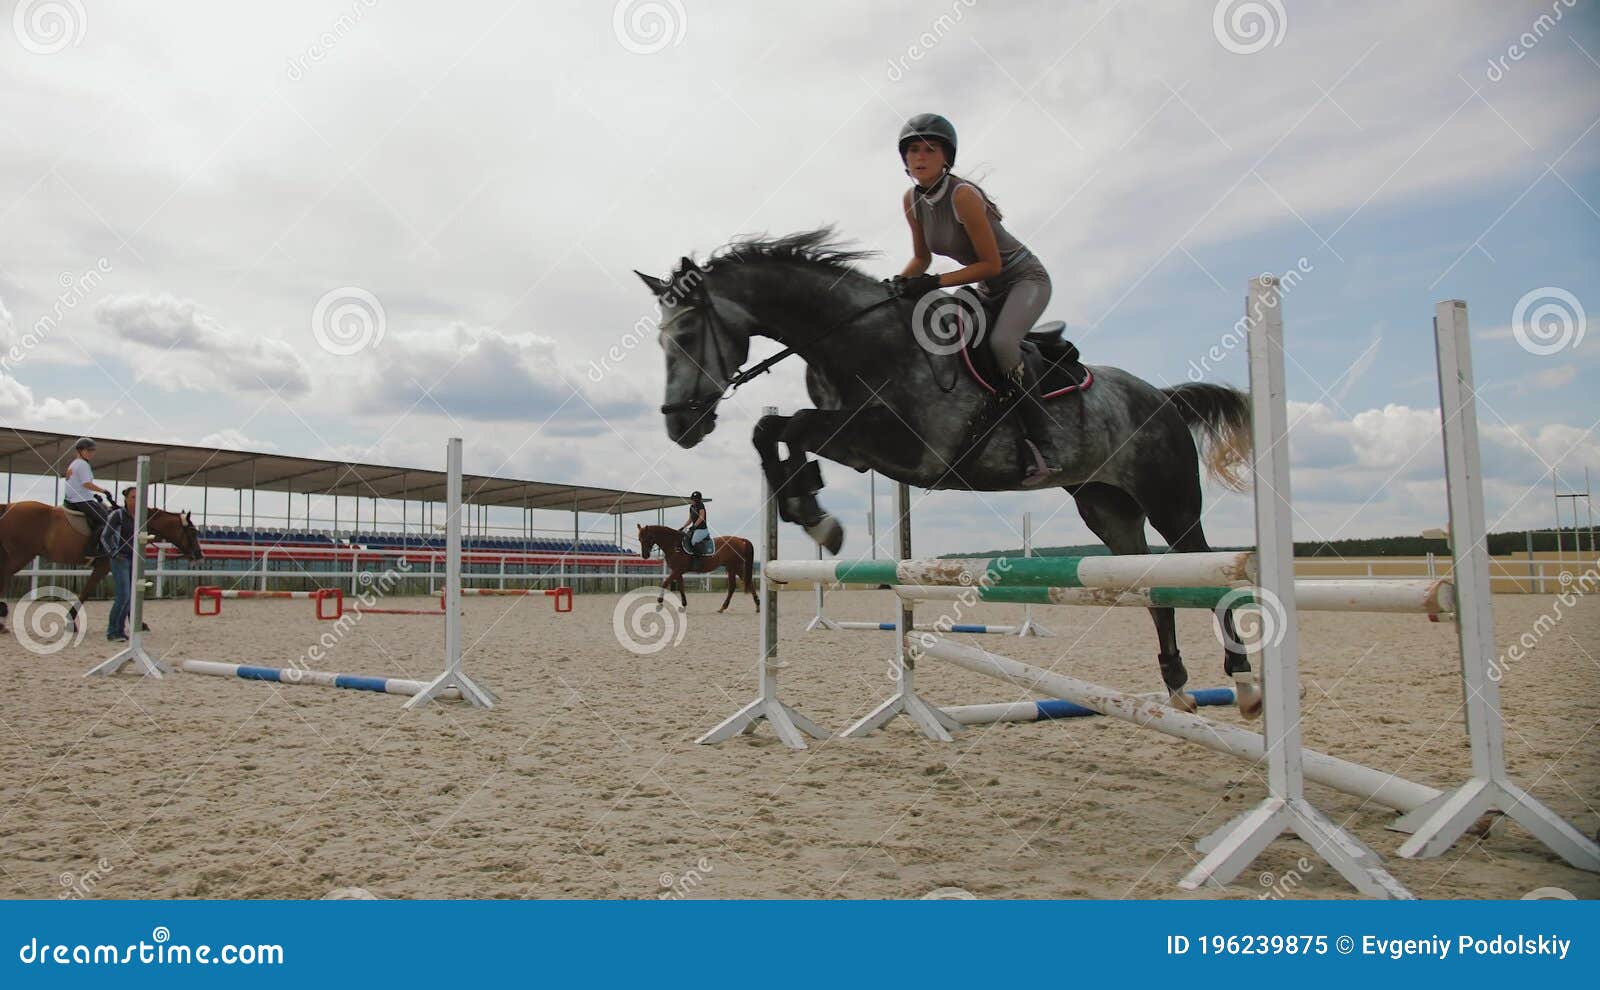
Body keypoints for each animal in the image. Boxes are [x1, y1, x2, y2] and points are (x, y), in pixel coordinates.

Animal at [0, 502, 206, 636]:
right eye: (192, 531)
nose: (199, 554)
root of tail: (9, 507)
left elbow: (127, 594)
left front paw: (138, 623)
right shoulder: (104, 566)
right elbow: (85, 593)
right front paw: (71, 622)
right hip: (20, 555)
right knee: (5, 575)